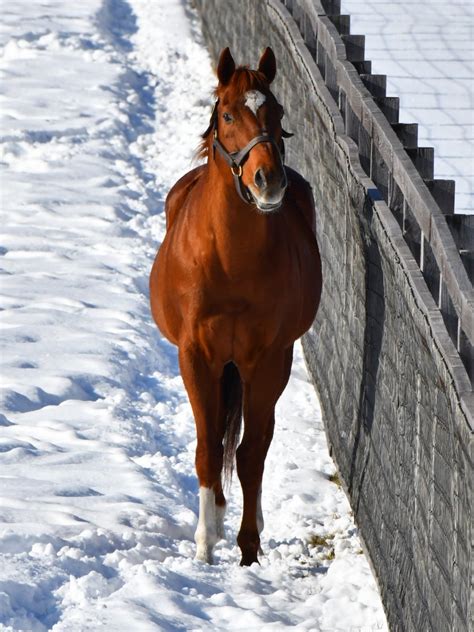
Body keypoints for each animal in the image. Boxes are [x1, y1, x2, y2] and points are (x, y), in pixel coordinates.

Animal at [150, 47, 324, 564]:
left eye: (278, 112)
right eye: (227, 114)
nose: (268, 181)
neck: (230, 261)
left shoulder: (266, 360)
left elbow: (250, 454)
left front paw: (249, 549)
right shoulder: (196, 356)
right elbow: (208, 449)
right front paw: (206, 544)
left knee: (254, 442)